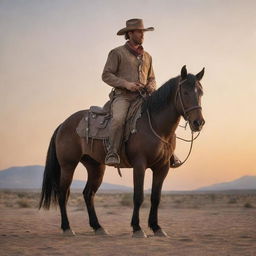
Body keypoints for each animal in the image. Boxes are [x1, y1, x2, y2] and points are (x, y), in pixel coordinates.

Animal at [38, 65, 206, 237]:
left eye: (200, 92)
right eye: (185, 92)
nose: (198, 122)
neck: (156, 125)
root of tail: (63, 124)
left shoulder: (162, 167)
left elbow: (155, 197)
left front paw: (156, 227)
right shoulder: (139, 164)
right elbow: (138, 196)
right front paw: (137, 228)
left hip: (95, 167)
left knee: (88, 194)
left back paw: (98, 227)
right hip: (68, 165)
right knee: (63, 194)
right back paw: (67, 228)